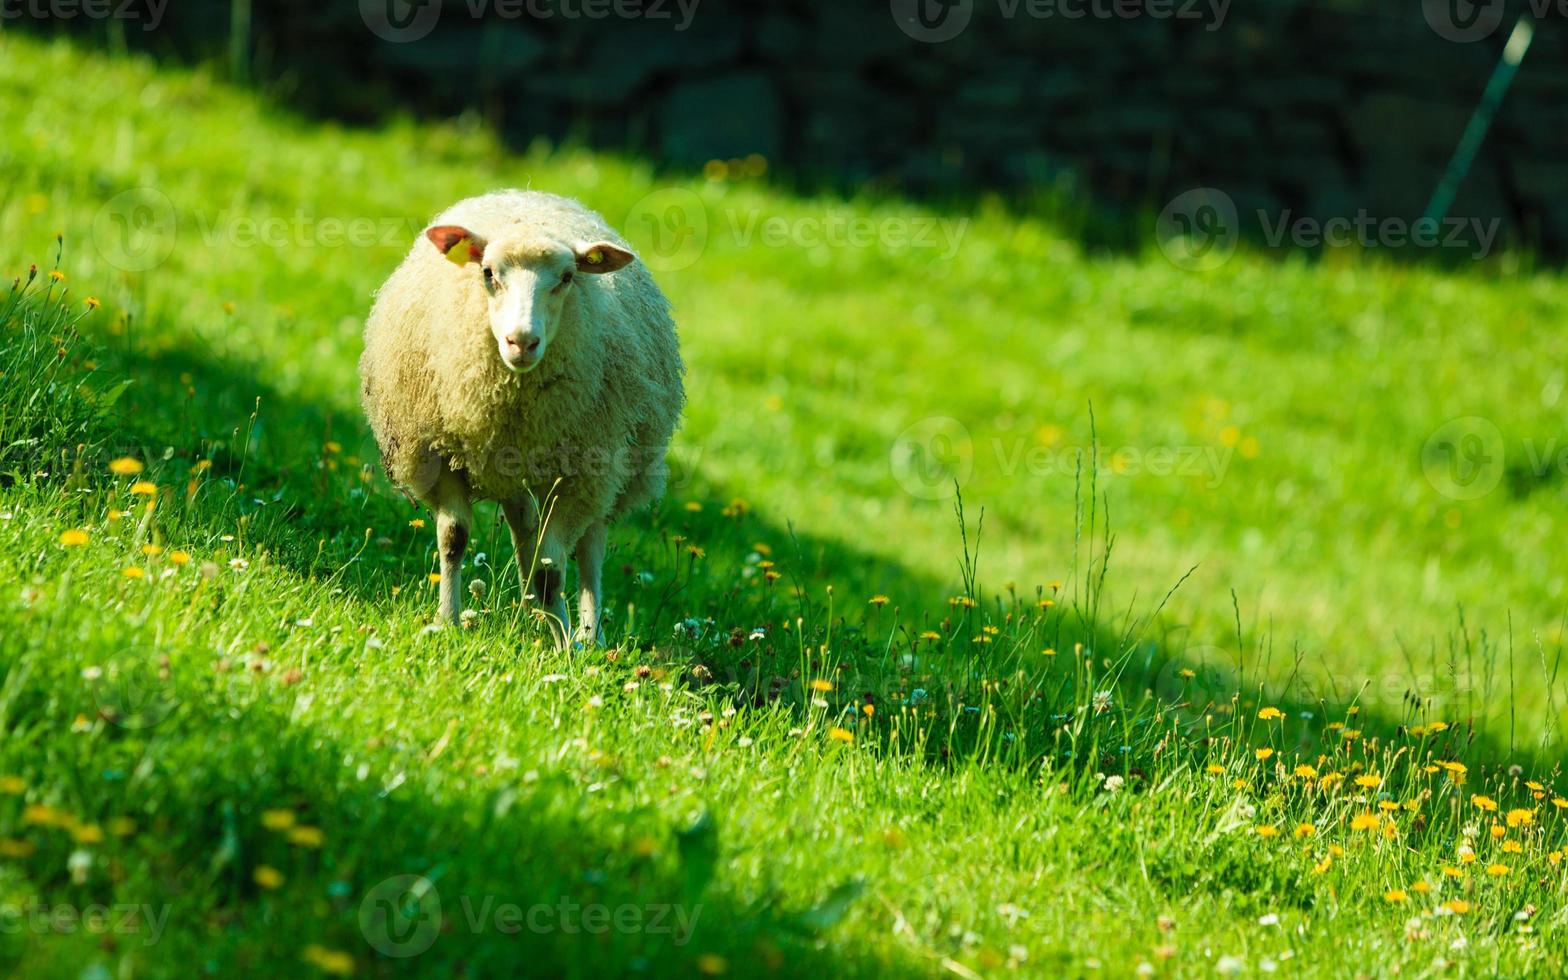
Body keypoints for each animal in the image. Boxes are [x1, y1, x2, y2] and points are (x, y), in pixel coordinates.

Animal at [359, 190, 684, 646]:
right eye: (488, 272)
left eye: (567, 277)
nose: (522, 341)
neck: (509, 397)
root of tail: (532, 196)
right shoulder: (438, 455)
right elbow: (454, 539)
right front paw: (447, 621)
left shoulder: (577, 475)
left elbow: (553, 570)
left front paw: (564, 647)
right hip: (516, 471)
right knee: (525, 529)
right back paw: (534, 611)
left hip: (606, 466)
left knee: (590, 546)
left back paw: (589, 635)